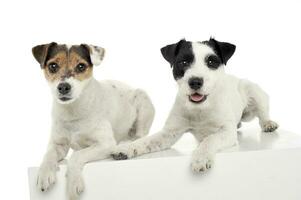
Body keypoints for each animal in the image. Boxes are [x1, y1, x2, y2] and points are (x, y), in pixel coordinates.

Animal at [32, 43, 155, 199]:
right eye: (53, 66)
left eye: (81, 66)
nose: (64, 87)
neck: (73, 111)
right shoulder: (57, 144)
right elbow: (48, 155)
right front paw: (44, 174)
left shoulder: (105, 144)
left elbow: (77, 155)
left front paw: (73, 182)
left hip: (142, 102)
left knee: (140, 135)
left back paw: (125, 145)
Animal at [111, 38, 278, 173]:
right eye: (184, 62)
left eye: (211, 62)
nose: (195, 81)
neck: (200, 109)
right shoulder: (169, 133)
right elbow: (146, 141)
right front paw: (126, 148)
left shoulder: (226, 133)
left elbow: (209, 141)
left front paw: (201, 158)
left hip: (254, 91)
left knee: (263, 112)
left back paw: (268, 124)